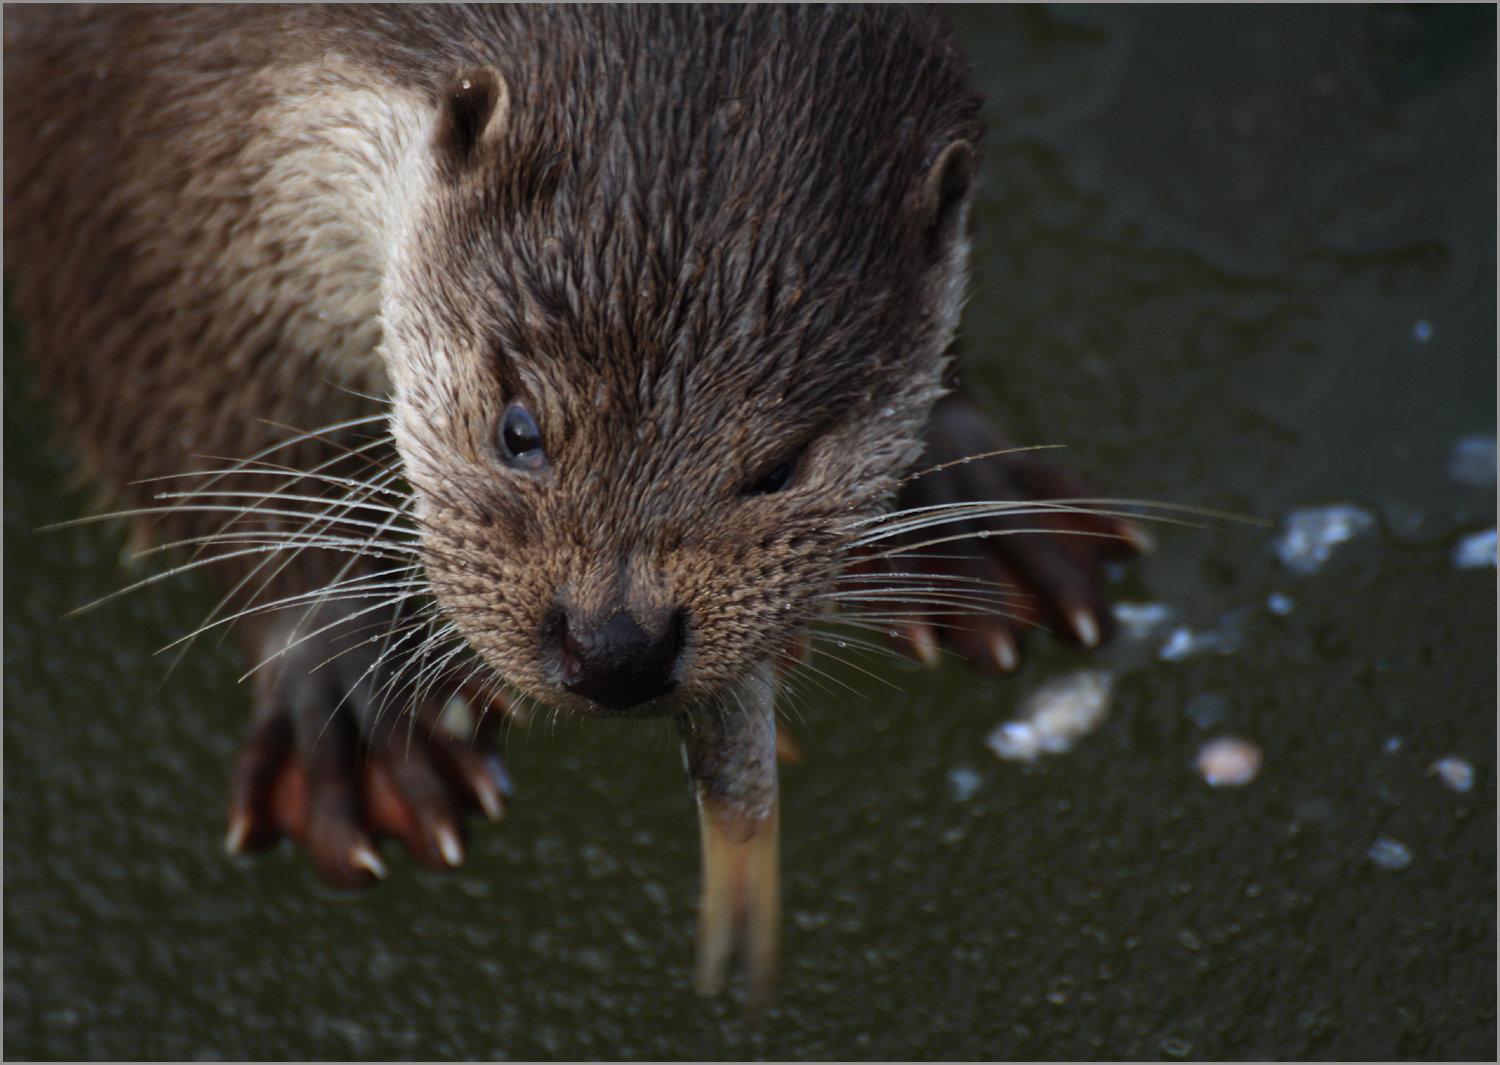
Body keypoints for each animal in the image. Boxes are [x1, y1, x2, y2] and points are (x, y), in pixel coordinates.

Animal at [5, 4, 1140, 1008]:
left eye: (781, 466)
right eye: (519, 427)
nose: (616, 643)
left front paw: (964, 495)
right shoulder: (120, 150)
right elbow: (187, 400)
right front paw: (349, 684)